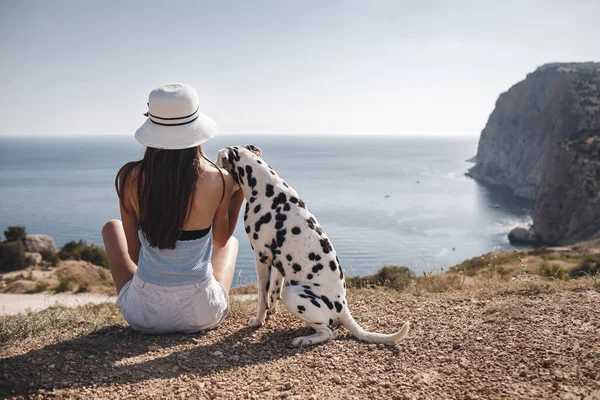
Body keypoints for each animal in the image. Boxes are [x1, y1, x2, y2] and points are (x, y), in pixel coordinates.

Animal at [218, 145, 410, 346]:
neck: (266, 186)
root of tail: (343, 307)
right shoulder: (278, 263)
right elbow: (274, 291)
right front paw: (271, 312)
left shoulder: (262, 257)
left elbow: (262, 297)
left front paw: (258, 320)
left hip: (292, 294)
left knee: (329, 333)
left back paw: (304, 340)